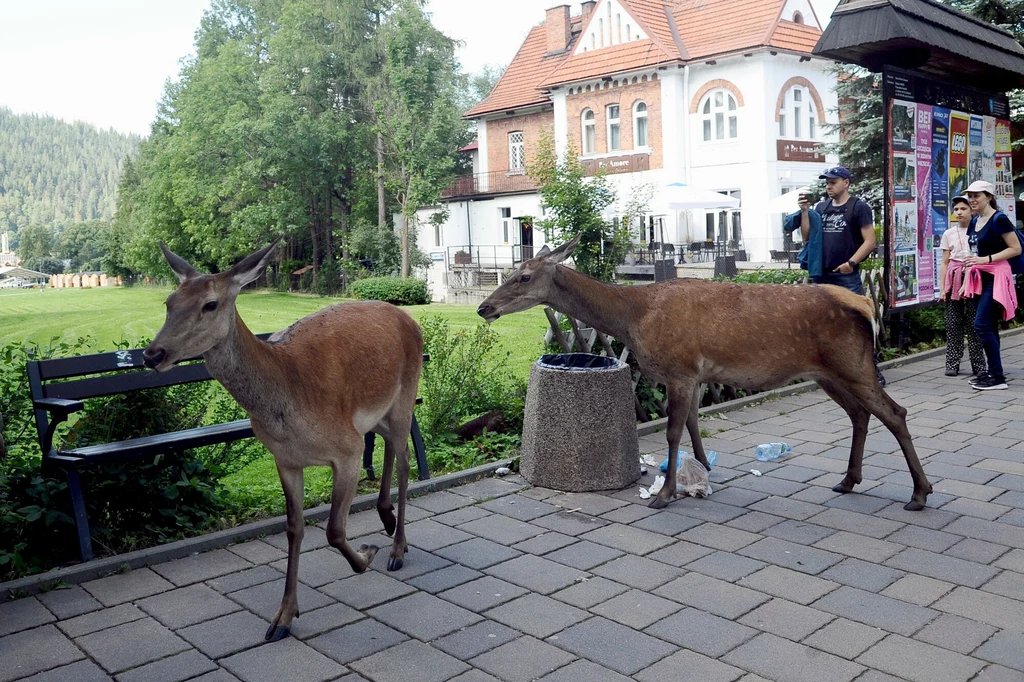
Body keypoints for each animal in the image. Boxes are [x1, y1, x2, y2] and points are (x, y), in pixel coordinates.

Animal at [142, 238, 421, 638]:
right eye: (168, 302)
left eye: (210, 304)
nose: (153, 354)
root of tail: (411, 320)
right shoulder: (284, 459)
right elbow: (294, 529)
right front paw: (283, 617)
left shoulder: (346, 449)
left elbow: (334, 529)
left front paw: (366, 555)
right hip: (377, 414)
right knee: (388, 448)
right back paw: (386, 518)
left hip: (404, 397)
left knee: (404, 461)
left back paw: (397, 548)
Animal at [475, 238, 933, 509]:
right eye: (512, 271)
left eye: (524, 276)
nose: (483, 307)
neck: (634, 319)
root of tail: (867, 306)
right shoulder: (694, 374)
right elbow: (694, 425)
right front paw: (700, 473)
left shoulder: (679, 369)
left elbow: (673, 432)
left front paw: (663, 495)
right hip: (828, 373)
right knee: (861, 414)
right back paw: (849, 480)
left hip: (852, 363)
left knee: (895, 413)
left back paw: (919, 493)